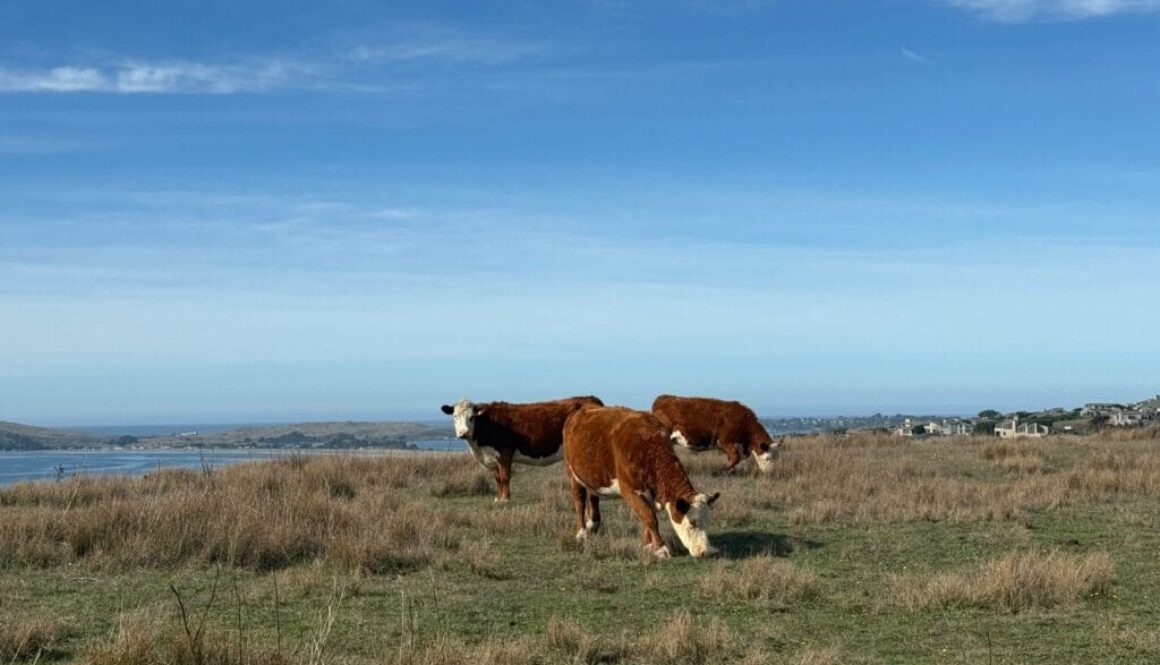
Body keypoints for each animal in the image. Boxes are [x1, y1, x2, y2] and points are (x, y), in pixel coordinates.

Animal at [440, 396, 603, 502]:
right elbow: (498, 478)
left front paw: (505, 498)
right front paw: (498, 498)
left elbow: (505, 477)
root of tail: (591, 399)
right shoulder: (493, 457)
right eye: (455, 416)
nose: (463, 433)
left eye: (471, 417)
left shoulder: (505, 452)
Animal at [563, 405, 720, 559]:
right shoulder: (629, 491)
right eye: (692, 523)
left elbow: (645, 517)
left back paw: (593, 524)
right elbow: (649, 517)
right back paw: (582, 533)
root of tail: (581, 411)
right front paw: (660, 548)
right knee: (579, 502)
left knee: (593, 496)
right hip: (572, 473)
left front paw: (648, 544)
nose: (705, 552)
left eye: (709, 521)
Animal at [651, 394, 781, 474]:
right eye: (768, 458)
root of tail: (664, 398)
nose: (771, 473)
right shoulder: (726, 441)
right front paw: (722, 470)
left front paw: (731, 472)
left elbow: (733, 458)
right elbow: (735, 457)